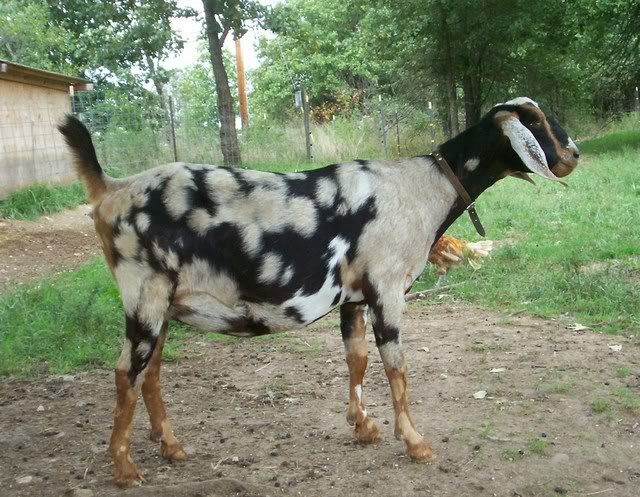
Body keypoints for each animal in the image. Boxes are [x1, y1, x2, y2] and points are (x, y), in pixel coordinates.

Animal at [58, 97, 579, 487]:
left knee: (150, 374)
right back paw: (125, 470)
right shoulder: (387, 288)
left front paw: (363, 427)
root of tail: (112, 188)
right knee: (126, 374)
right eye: (532, 120)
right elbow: (397, 367)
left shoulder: (354, 296)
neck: (422, 187)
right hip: (144, 296)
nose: (573, 154)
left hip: (163, 305)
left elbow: (357, 359)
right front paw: (414, 442)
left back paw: (170, 447)